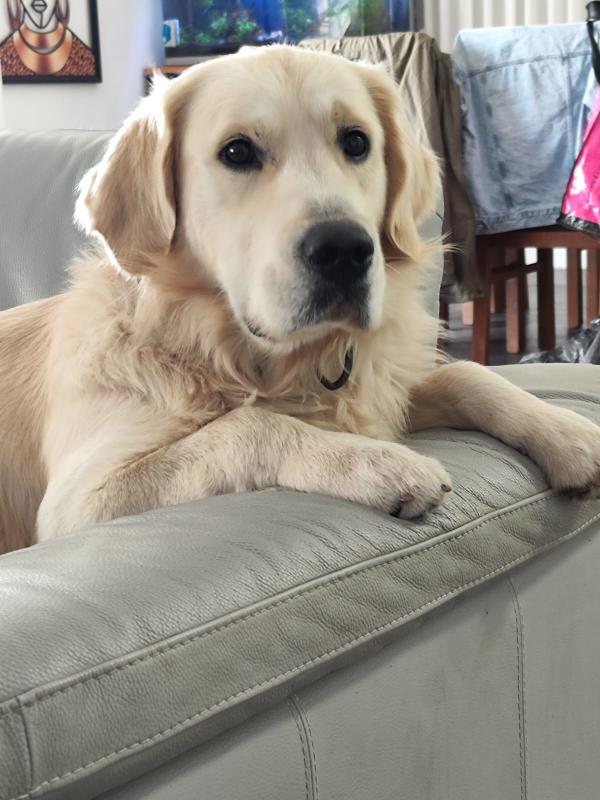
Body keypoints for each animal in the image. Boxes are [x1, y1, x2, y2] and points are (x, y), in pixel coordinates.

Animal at [1, 45, 599, 554]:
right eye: (237, 151)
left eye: (356, 142)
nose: (344, 251)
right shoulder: (80, 501)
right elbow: (250, 426)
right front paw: (380, 464)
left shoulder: (384, 391)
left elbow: (467, 374)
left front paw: (568, 433)